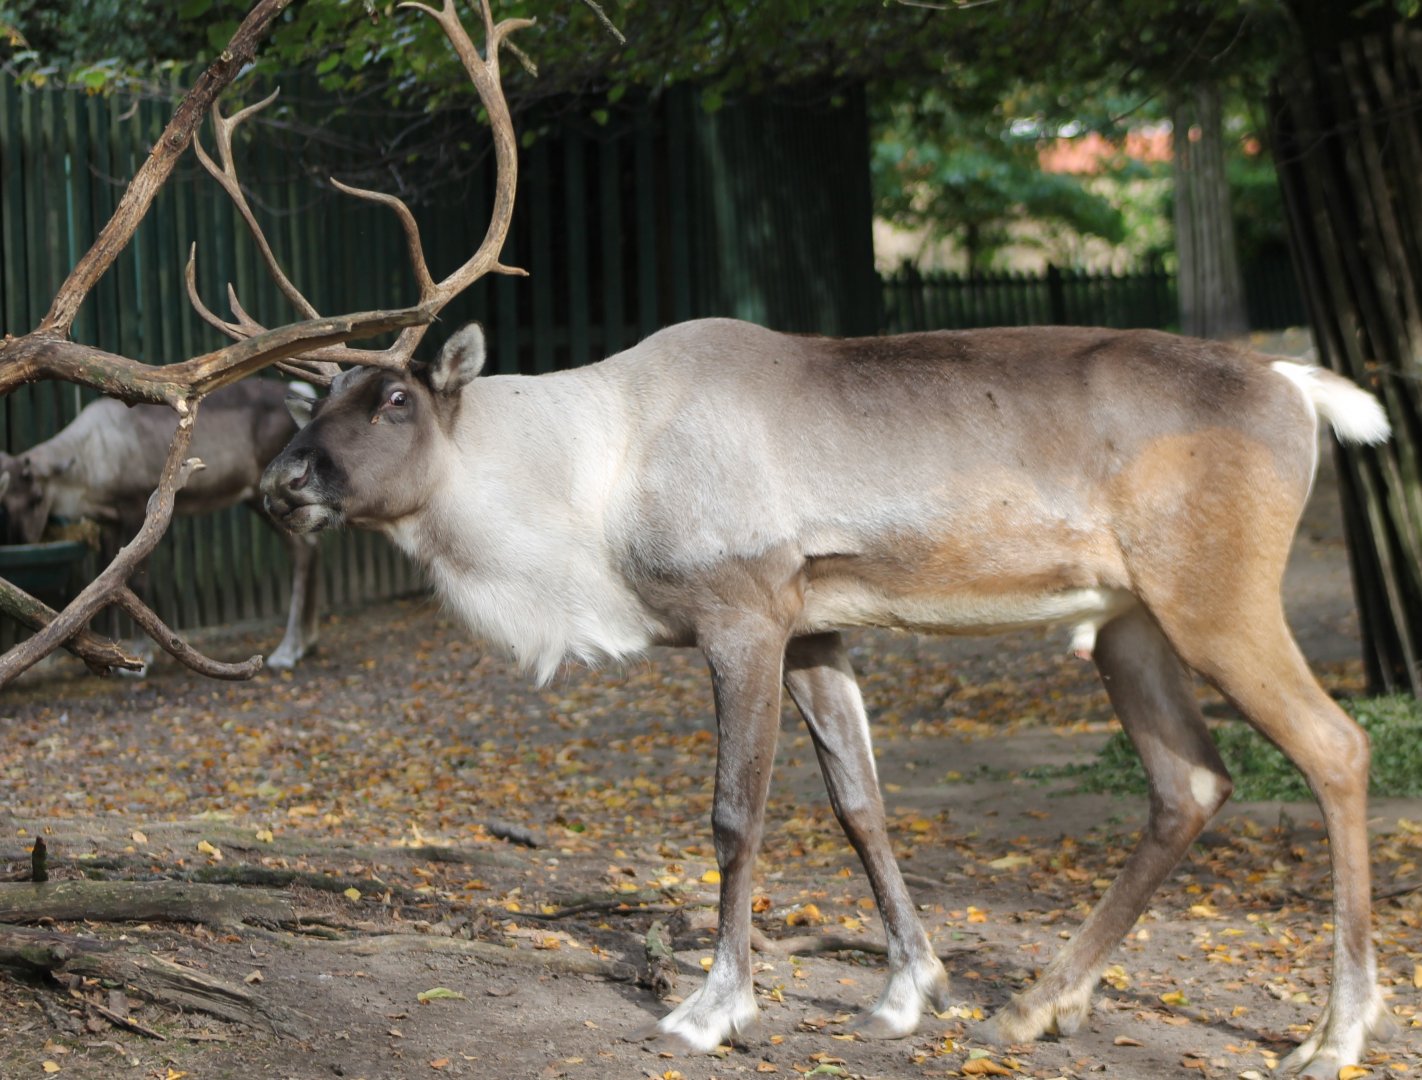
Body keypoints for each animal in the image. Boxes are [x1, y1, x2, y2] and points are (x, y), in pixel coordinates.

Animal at [1, 378, 321, 669]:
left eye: (37, 497)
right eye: (5, 501)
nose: (23, 540)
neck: (90, 460)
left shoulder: (135, 506)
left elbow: (136, 580)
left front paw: (140, 657)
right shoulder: (109, 521)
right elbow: (106, 577)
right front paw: (112, 648)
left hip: (266, 493)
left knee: (303, 549)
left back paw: (287, 649)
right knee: (305, 548)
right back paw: (303, 643)